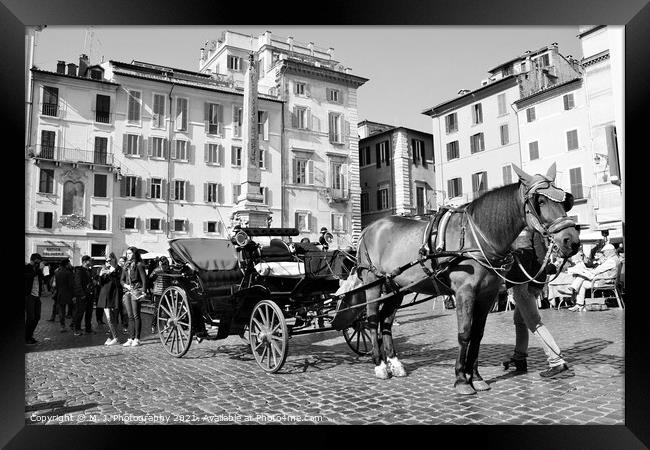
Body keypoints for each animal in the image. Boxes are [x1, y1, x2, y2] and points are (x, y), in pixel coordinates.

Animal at [352, 164, 580, 394]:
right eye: (540, 201)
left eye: (565, 201)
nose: (572, 241)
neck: (476, 237)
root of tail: (369, 228)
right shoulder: (464, 292)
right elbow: (464, 333)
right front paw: (461, 379)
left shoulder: (487, 294)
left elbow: (477, 334)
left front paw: (476, 377)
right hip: (373, 284)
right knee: (372, 321)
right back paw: (380, 365)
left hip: (396, 287)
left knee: (386, 322)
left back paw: (395, 362)